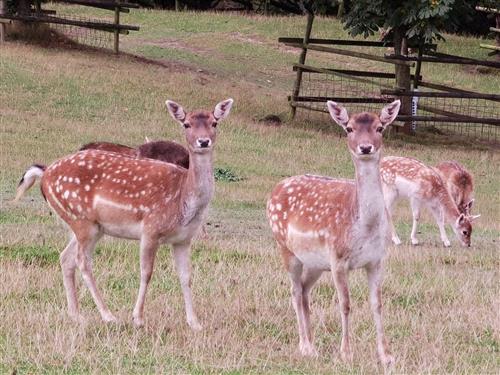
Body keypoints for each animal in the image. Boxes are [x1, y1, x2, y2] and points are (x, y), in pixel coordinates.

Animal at [14, 97, 233, 328]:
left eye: (214, 123)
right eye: (186, 124)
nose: (203, 141)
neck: (183, 198)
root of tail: (44, 173)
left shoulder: (183, 239)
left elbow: (186, 276)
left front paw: (195, 323)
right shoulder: (151, 228)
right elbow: (146, 272)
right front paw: (138, 318)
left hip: (89, 226)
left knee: (65, 258)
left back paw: (76, 315)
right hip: (81, 219)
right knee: (83, 262)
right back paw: (108, 315)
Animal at [266, 100, 402, 368]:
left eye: (380, 127)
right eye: (349, 128)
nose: (365, 147)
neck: (365, 226)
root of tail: (275, 189)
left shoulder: (377, 260)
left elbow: (377, 304)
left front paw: (386, 355)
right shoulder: (338, 259)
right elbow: (345, 304)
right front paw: (346, 353)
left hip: (315, 262)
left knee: (304, 290)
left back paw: (312, 344)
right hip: (285, 247)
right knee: (295, 291)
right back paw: (306, 347)